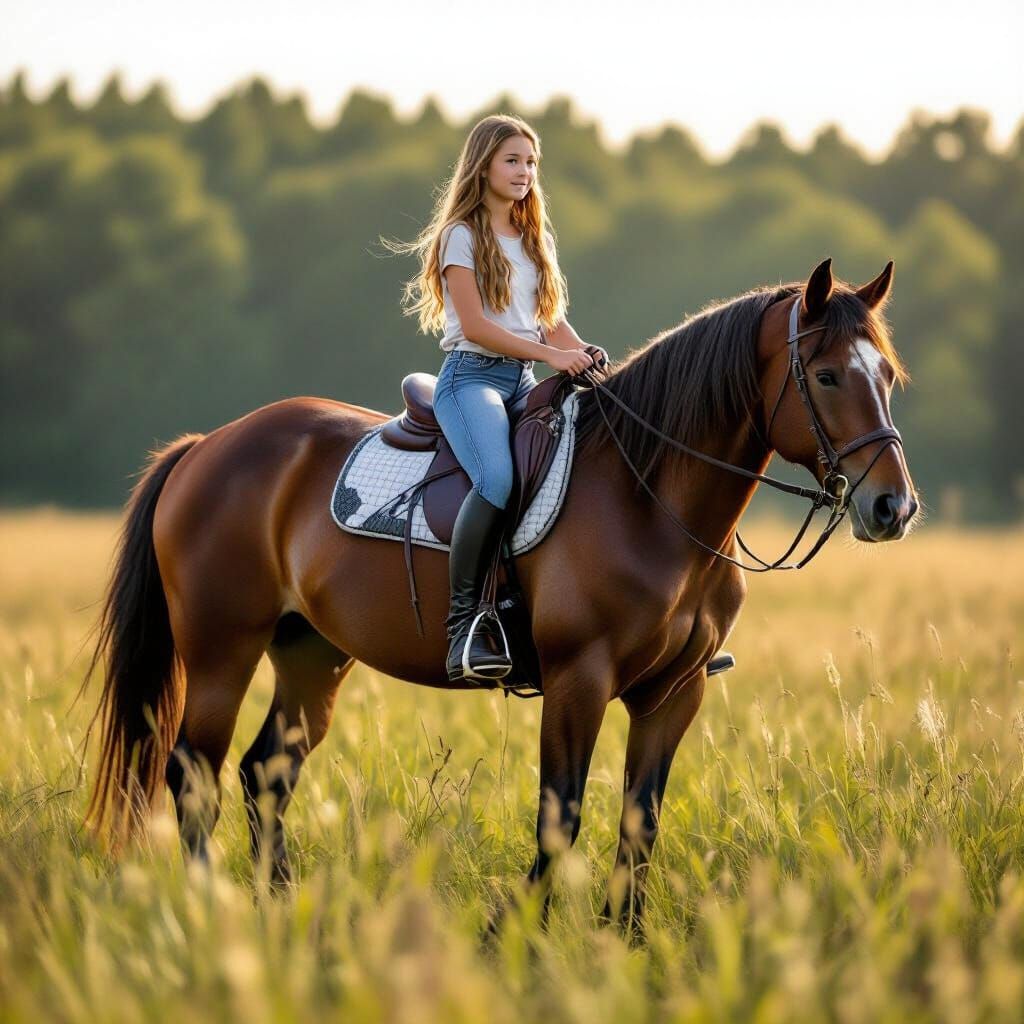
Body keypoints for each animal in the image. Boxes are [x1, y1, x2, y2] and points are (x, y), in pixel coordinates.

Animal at [83, 257, 917, 930]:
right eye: (827, 376)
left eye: (887, 377)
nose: (893, 508)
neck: (650, 497)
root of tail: (209, 445)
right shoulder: (579, 681)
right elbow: (562, 817)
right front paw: (512, 939)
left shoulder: (675, 693)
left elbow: (639, 822)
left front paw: (624, 946)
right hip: (221, 651)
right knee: (194, 776)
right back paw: (212, 914)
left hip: (311, 657)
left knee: (265, 778)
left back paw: (281, 913)